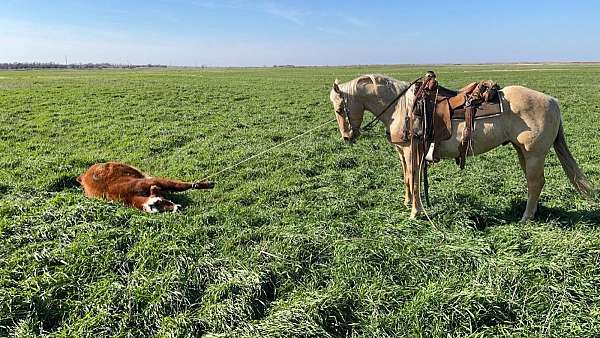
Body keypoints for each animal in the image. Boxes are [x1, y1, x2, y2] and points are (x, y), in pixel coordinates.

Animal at [76, 162, 214, 213]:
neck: (130, 196)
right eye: (160, 209)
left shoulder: (150, 181)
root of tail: (83, 175)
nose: (178, 208)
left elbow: (177, 185)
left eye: (159, 201)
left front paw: (206, 184)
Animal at [330, 74, 592, 222]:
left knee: (535, 182)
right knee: (535, 182)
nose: (347, 137)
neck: (402, 107)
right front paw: (409, 204)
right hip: (522, 151)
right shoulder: (404, 152)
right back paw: (532, 212)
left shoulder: (412, 151)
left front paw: (415, 212)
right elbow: (407, 178)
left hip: (535, 154)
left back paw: (526, 217)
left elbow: (413, 179)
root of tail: (553, 101)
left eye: (339, 109)